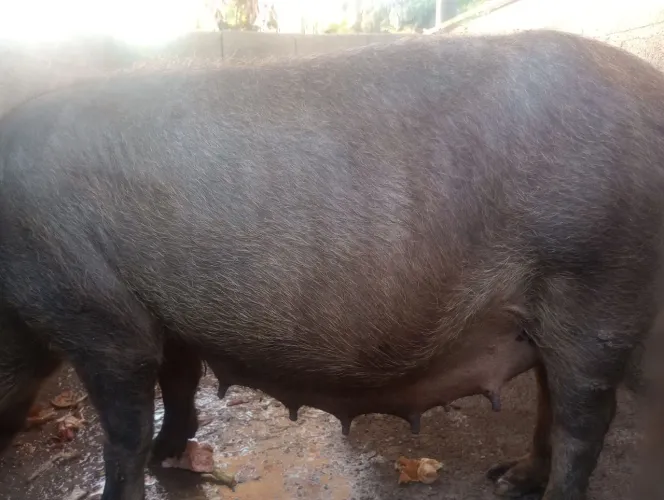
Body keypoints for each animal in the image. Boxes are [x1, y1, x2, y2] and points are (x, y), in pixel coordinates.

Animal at [0, 28, 663, 500]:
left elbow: (125, 429)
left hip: (600, 283)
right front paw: (171, 451)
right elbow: (178, 382)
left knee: (585, 418)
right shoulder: (160, 314)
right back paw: (506, 480)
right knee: (553, 395)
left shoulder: (92, 309)